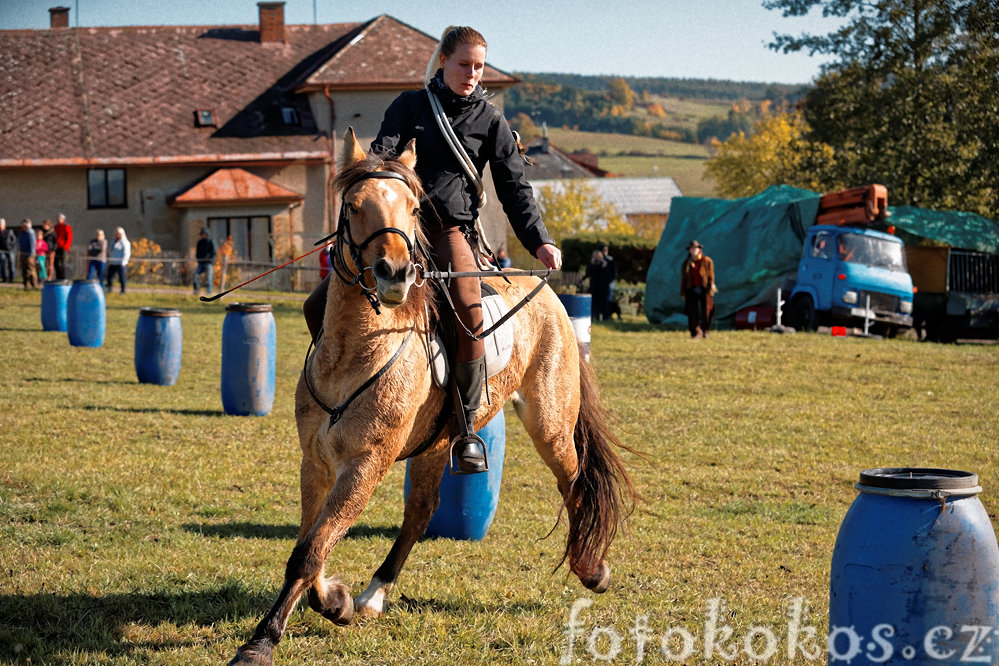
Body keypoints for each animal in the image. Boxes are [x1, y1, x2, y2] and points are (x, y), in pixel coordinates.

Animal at [229, 127, 632, 660]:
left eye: (413, 207)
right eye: (353, 205)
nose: (395, 274)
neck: (355, 348)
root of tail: (545, 288)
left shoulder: (366, 464)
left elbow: (310, 550)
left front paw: (261, 643)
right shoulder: (315, 462)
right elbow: (310, 544)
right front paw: (336, 600)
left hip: (549, 424)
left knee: (574, 481)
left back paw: (591, 568)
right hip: (438, 444)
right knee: (420, 512)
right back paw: (374, 595)